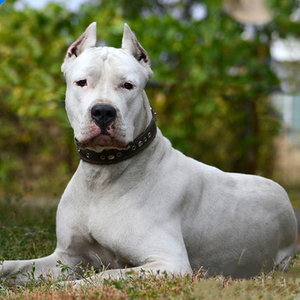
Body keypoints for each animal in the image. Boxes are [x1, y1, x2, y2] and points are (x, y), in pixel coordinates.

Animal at [0, 22, 296, 284]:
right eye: (81, 82)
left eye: (128, 85)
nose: (103, 111)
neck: (103, 175)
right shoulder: (67, 257)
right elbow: (14, 266)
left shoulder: (169, 263)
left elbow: (101, 277)